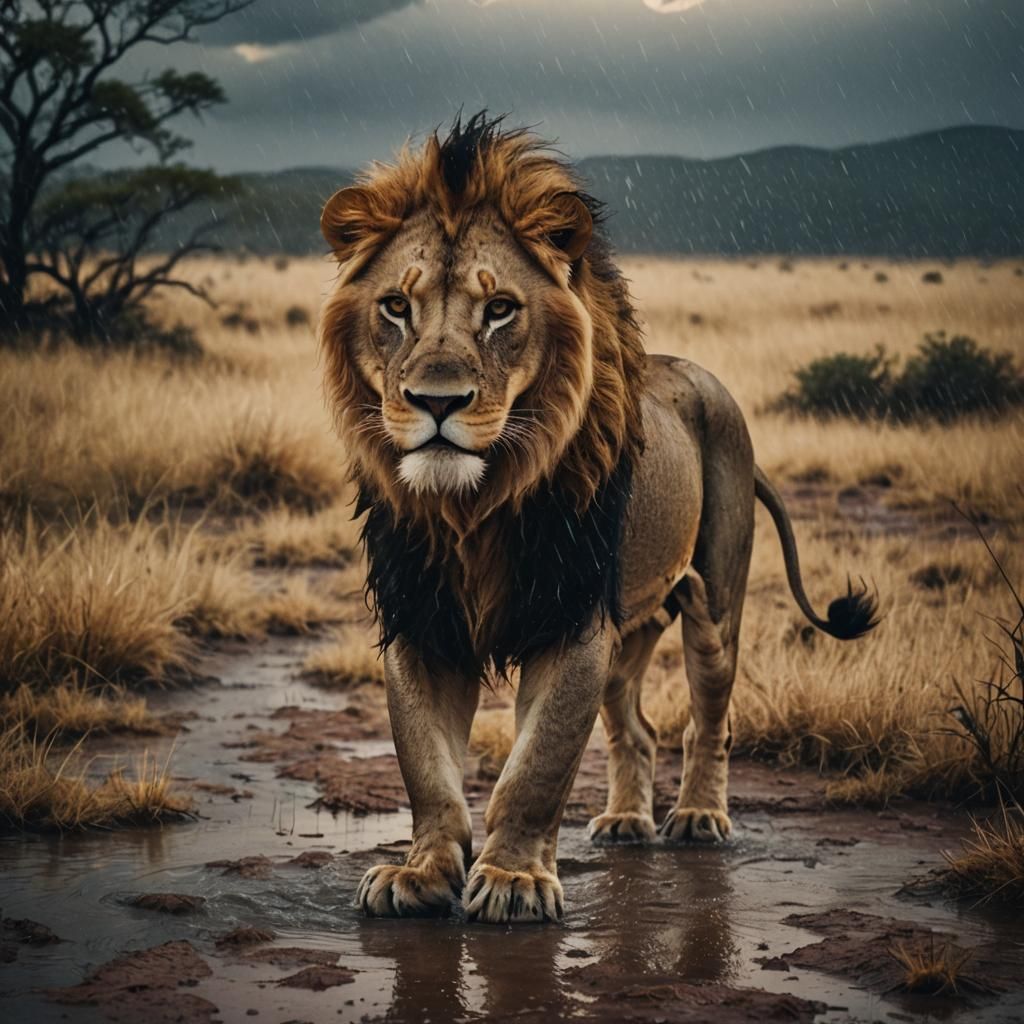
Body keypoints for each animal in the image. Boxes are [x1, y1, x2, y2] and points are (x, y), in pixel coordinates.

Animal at [318, 112, 878, 925]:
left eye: (499, 309)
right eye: (396, 306)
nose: (436, 402)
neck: (472, 508)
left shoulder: (573, 619)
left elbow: (537, 766)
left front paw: (514, 880)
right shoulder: (421, 618)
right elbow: (426, 767)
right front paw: (419, 874)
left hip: (714, 602)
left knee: (711, 719)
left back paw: (698, 817)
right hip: (630, 630)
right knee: (635, 731)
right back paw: (622, 822)